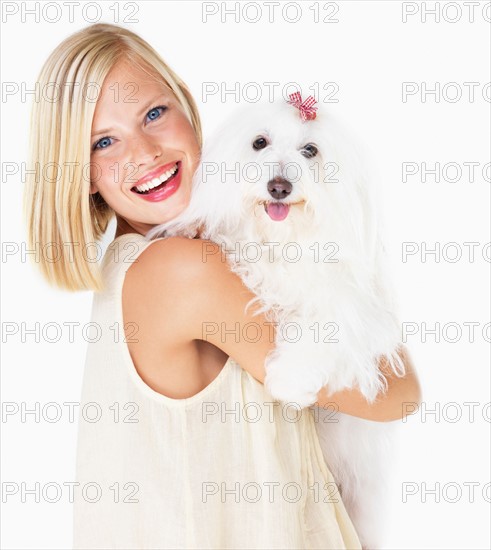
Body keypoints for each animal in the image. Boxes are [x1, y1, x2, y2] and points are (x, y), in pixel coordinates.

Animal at [147, 97, 408, 548]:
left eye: (310, 151)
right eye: (259, 142)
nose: (279, 187)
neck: (280, 242)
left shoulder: (357, 309)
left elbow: (327, 326)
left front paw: (290, 379)